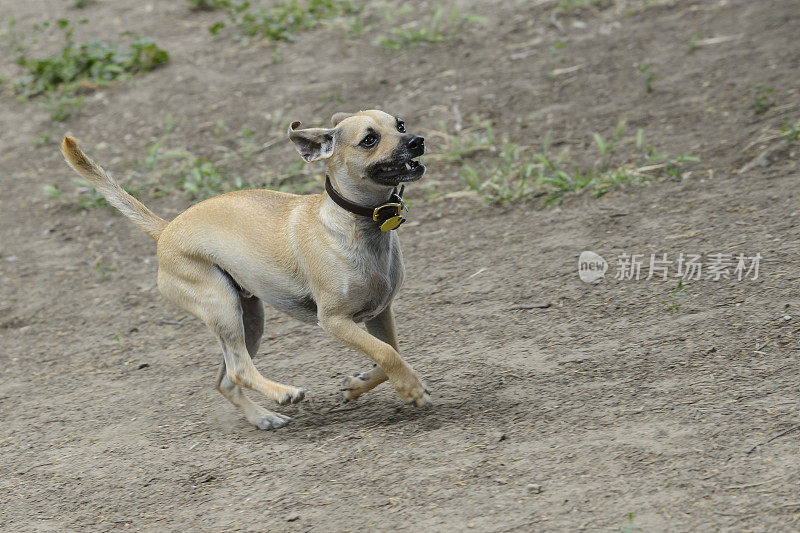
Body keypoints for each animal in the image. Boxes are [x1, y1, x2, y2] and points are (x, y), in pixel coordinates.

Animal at [61, 110, 428, 430]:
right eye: (369, 139)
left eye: (400, 124)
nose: (417, 140)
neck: (358, 226)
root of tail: (166, 230)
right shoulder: (335, 320)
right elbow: (386, 353)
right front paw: (411, 388)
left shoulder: (379, 313)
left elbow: (389, 353)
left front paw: (358, 384)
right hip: (222, 307)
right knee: (239, 370)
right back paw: (283, 394)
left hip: (249, 316)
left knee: (225, 380)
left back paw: (262, 417)